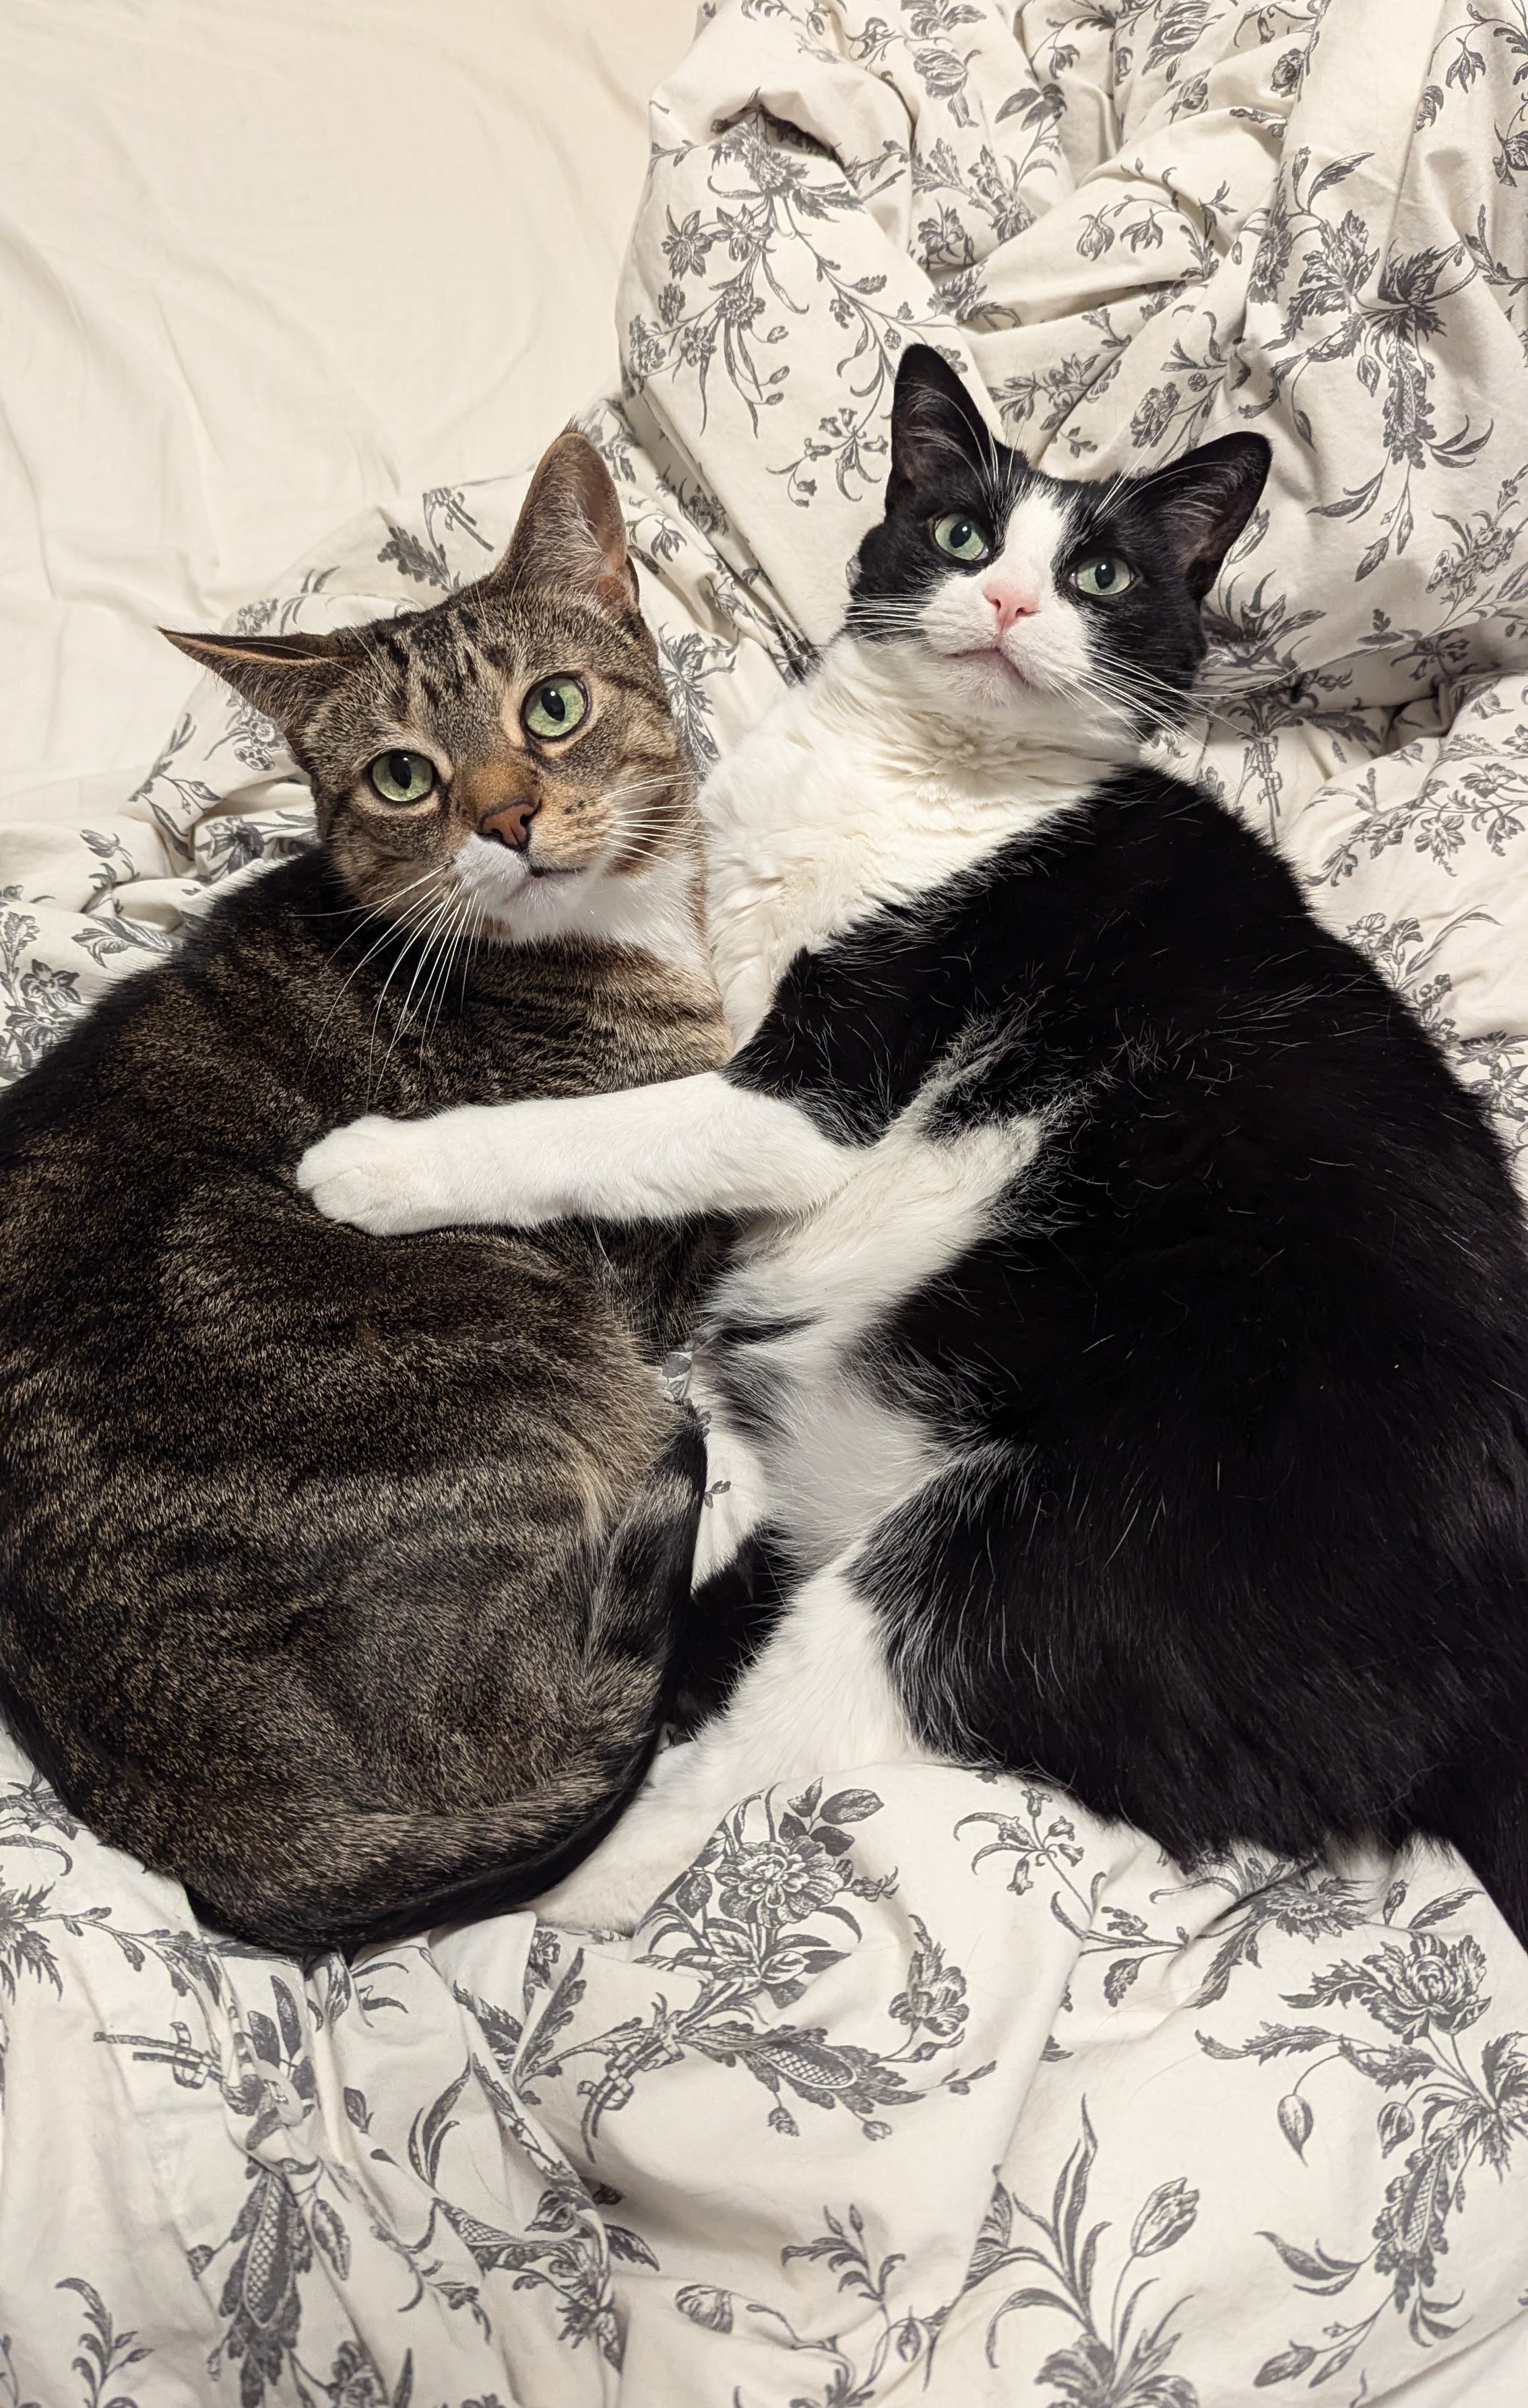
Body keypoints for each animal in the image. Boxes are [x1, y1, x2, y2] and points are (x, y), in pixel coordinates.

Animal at [0, 430, 730, 1955]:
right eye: (403, 776)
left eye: (554, 708)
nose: (506, 819)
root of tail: (235, 1837)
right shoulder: (650, 1244)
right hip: (518, 1350)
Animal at [297, 347, 1528, 1945]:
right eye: (960, 534)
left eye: (1099, 574)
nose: (1006, 603)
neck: (927, 768)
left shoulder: (811, 1097)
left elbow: (602, 1126)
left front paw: (375, 1163)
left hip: (1026, 1563)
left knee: (708, 1788)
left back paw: (565, 1891)